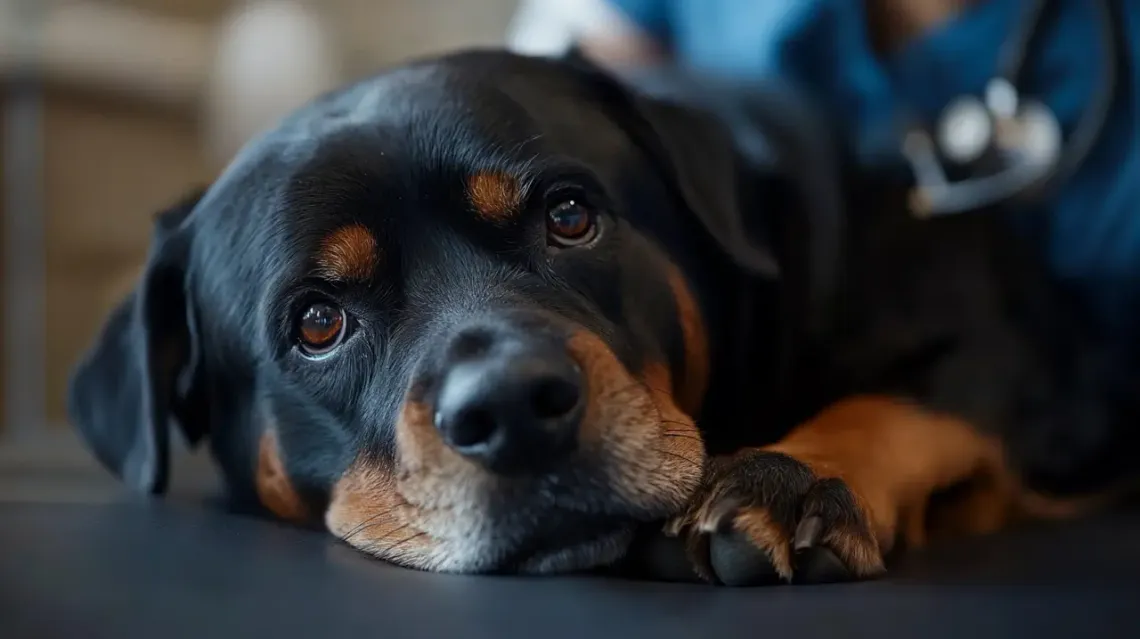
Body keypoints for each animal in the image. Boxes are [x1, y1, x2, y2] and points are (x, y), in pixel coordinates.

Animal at [68, 52, 1140, 587]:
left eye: (571, 215)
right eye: (318, 322)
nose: (510, 406)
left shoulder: (1031, 360)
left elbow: (895, 400)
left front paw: (795, 475)